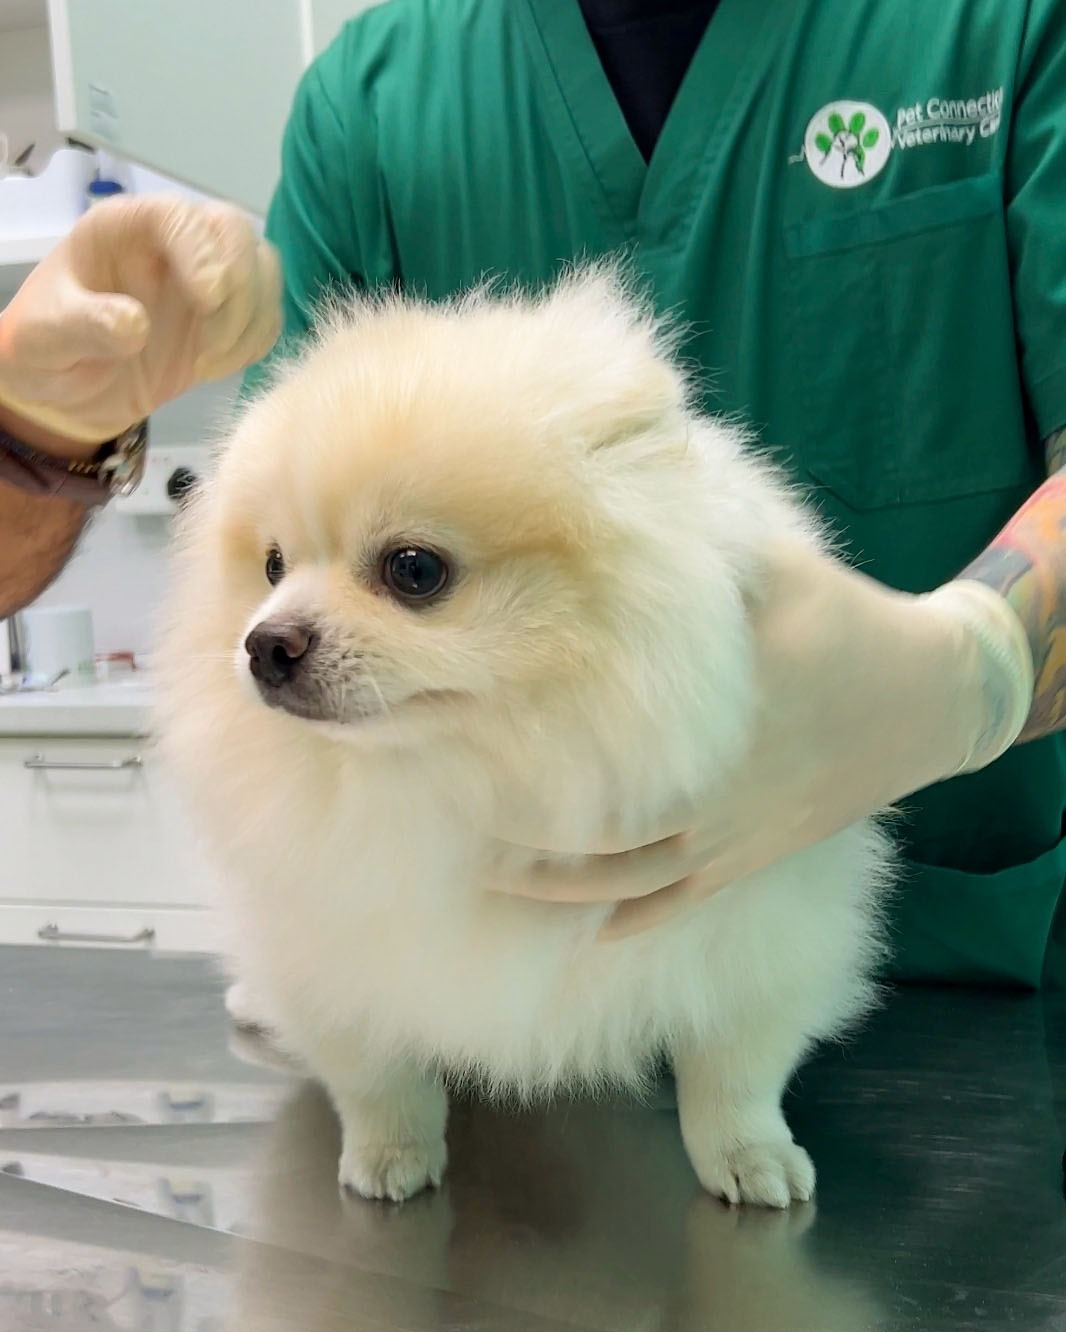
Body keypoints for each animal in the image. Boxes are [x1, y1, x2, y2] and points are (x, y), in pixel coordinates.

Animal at [158, 267, 890, 1209]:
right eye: (274, 566)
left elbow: (735, 1068)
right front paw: (391, 1152)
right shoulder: (332, 946)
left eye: (414, 570)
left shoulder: (758, 928)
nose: (264, 643)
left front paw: (747, 1151)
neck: (472, 771)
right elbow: (377, 1075)